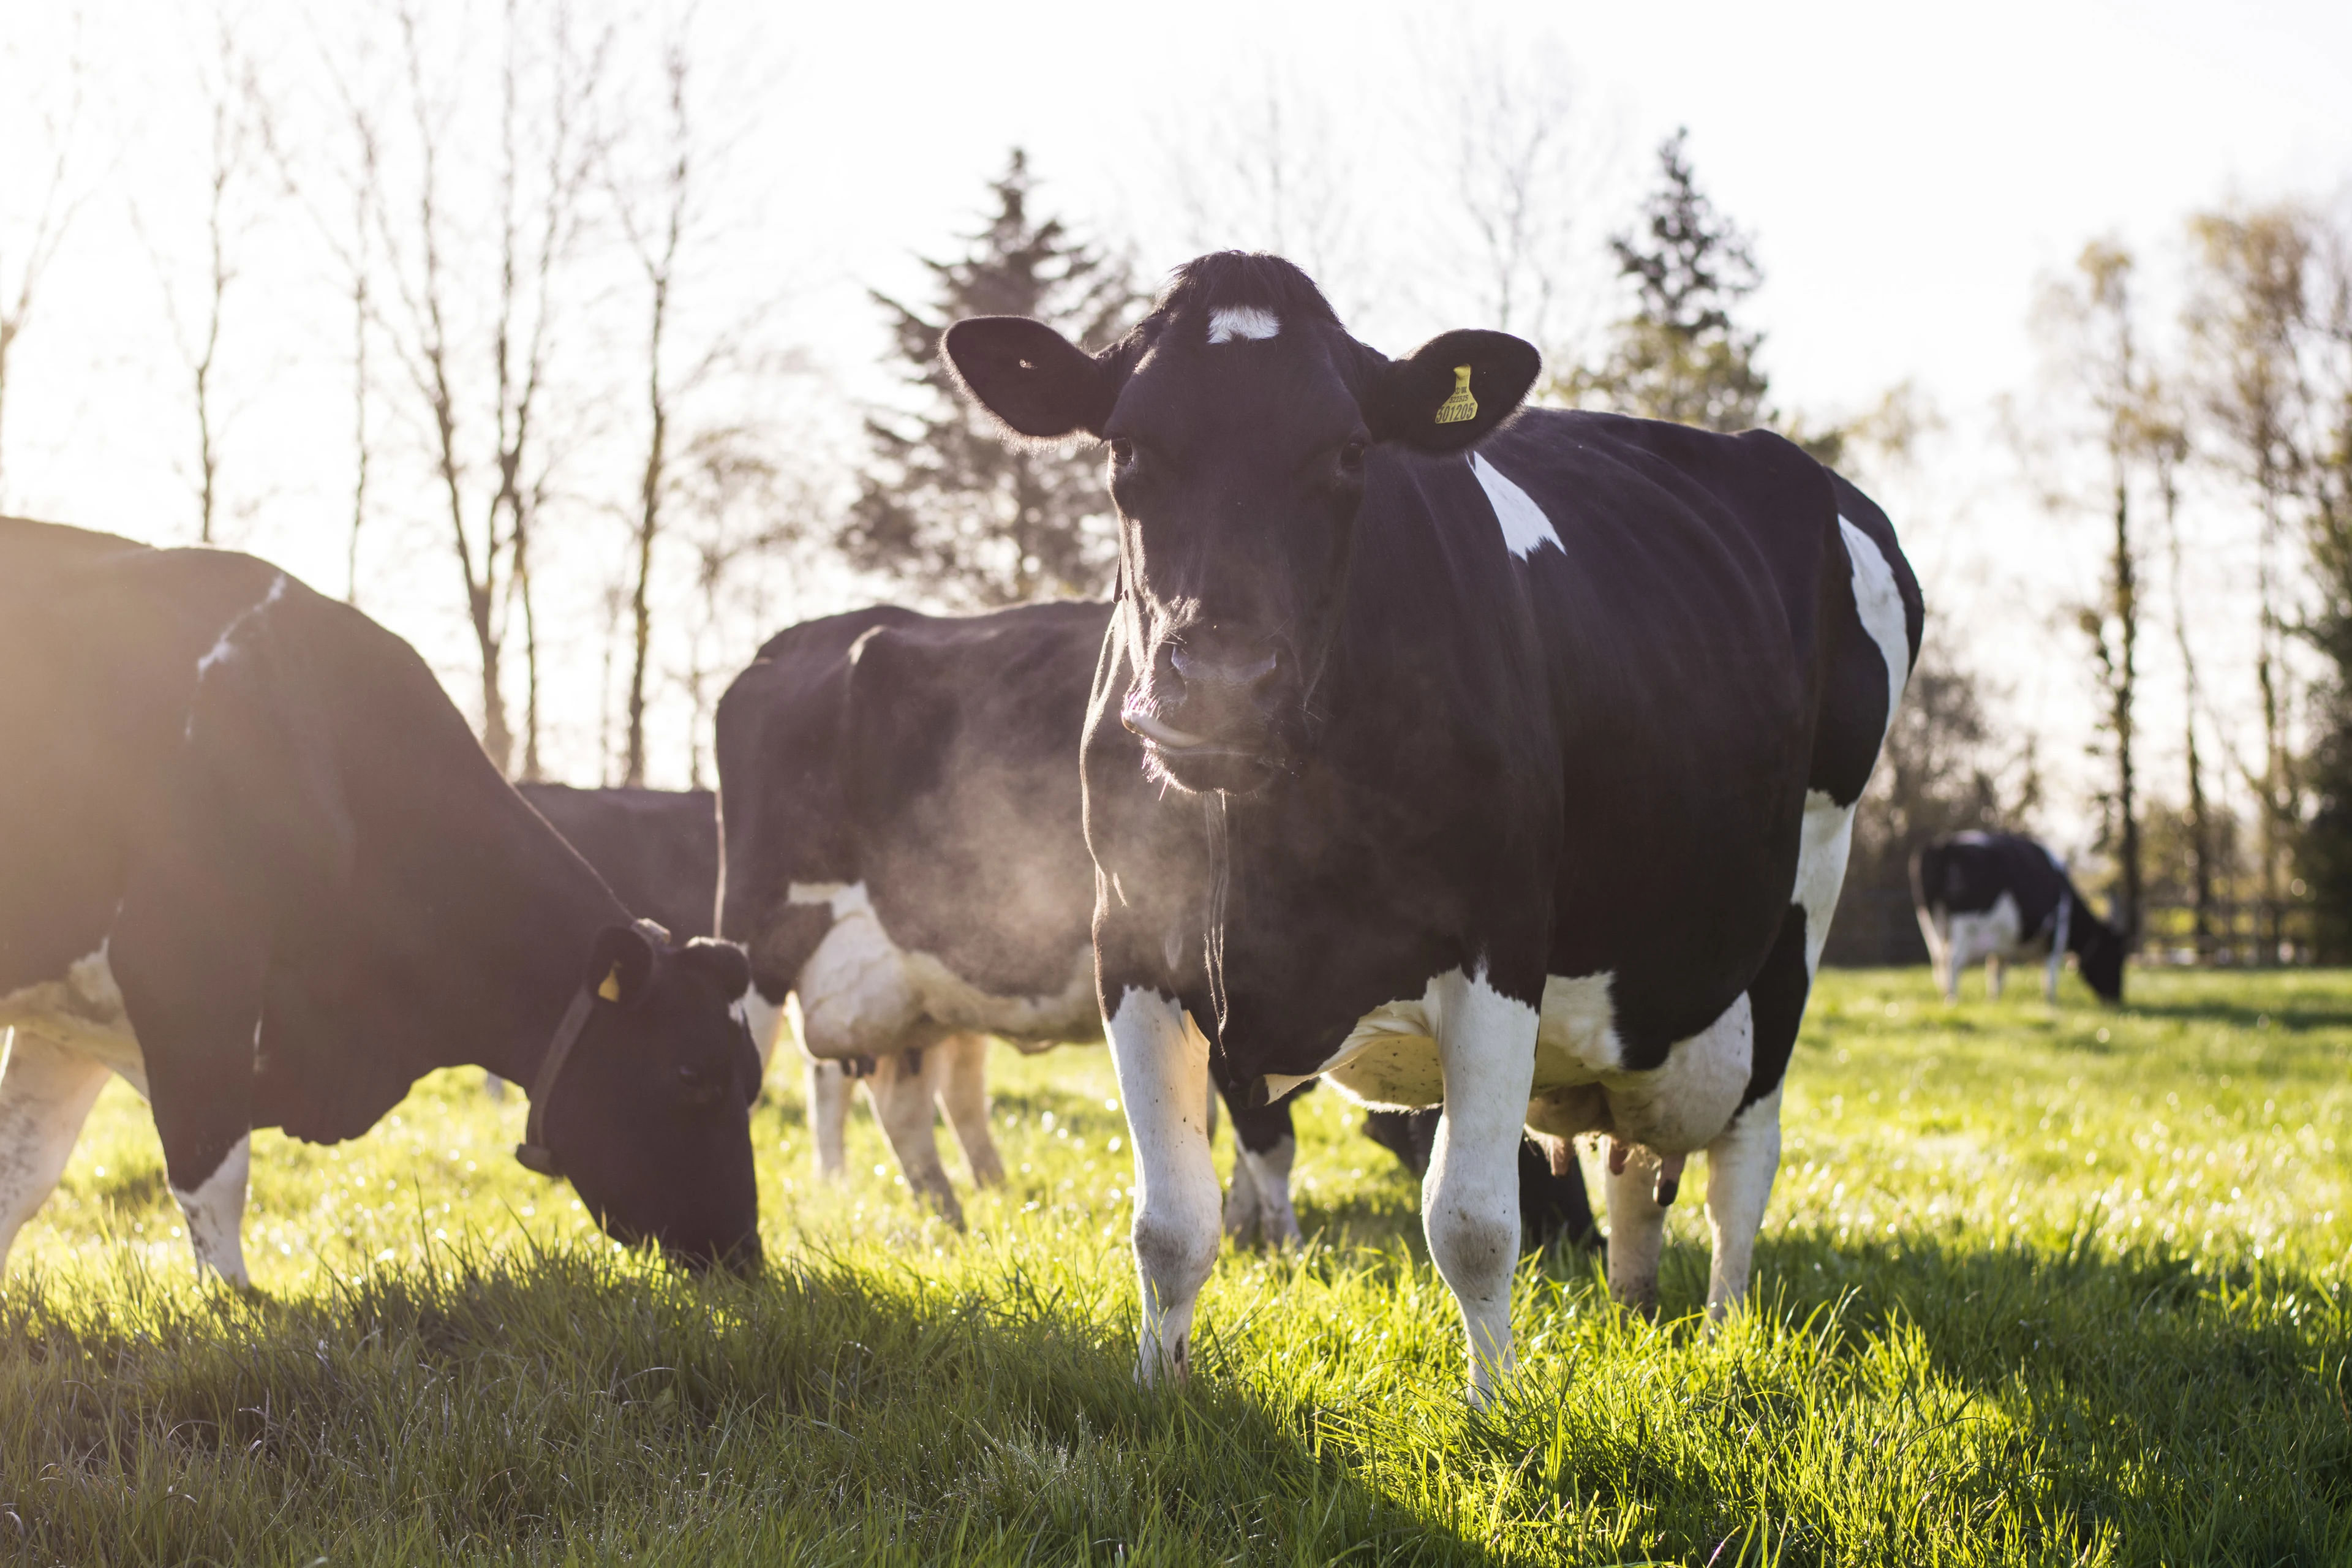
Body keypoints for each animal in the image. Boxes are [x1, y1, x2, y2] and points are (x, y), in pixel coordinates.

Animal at [0, 522, 762, 1278]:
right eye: (691, 1073)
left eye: (754, 1080)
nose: (745, 1252)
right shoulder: (186, 976)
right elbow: (213, 1177)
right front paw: (233, 1307)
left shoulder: (70, 1019)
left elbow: (22, 1174)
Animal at [710, 601, 1326, 1241]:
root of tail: (794, 640)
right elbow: (1267, 1139)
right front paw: (1286, 1247)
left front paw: (1248, 1231)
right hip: (755, 951)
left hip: (909, 992)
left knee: (903, 1106)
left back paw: (951, 1221)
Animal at [945, 255, 1919, 1401]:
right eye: (1127, 445)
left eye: (1351, 450)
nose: (1223, 684)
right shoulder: (1132, 942)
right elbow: (1171, 1223)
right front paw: (1159, 1388)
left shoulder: (1501, 939)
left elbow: (1474, 1222)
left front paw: (1496, 1408)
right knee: (1639, 1167)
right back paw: (1635, 1307)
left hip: (1802, 909)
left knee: (1743, 1160)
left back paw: (1725, 1336)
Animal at [1910, 832, 2135, 1006]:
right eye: (2116, 957)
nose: (2117, 998)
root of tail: (1944, 845)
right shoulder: (2056, 933)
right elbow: (2050, 973)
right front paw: (2051, 1003)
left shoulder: (2002, 942)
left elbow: (1997, 973)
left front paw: (1994, 1001)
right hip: (1964, 926)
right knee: (1952, 961)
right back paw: (1953, 1000)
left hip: (1931, 923)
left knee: (1939, 960)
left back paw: (1946, 995)